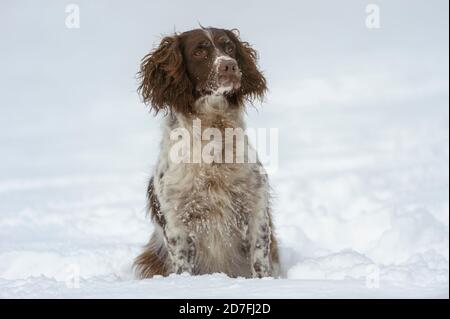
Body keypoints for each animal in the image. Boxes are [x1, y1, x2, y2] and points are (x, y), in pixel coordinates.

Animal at [134, 27, 280, 278]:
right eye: (199, 51)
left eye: (229, 46)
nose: (230, 65)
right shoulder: (177, 220)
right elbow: (182, 265)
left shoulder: (255, 206)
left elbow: (260, 259)